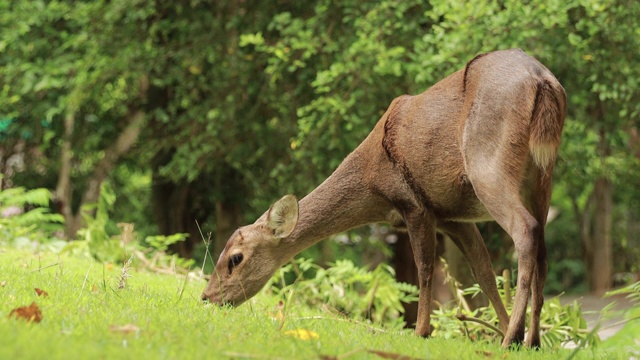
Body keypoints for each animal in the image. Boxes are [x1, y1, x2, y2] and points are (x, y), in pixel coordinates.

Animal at [202, 49, 568, 348]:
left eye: (235, 258)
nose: (207, 297)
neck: (372, 185)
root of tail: (543, 81)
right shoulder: (453, 217)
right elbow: (484, 273)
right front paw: (500, 326)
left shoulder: (413, 203)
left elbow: (425, 268)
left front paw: (422, 331)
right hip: (542, 176)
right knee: (543, 246)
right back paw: (532, 339)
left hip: (487, 164)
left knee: (526, 230)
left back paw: (513, 338)